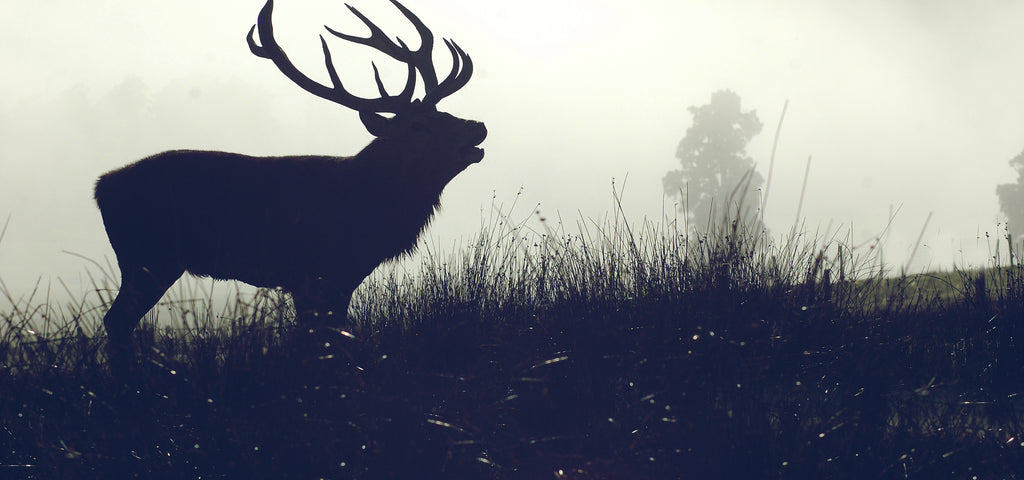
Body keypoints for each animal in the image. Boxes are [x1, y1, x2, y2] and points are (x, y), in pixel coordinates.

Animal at [94, 0, 485, 352]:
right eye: (419, 126)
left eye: (444, 113)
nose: (478, 126)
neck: (367, 211)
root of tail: (100, 187)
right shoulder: (311, 272)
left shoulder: (341, 277)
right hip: (148, 257)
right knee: (116, 321)